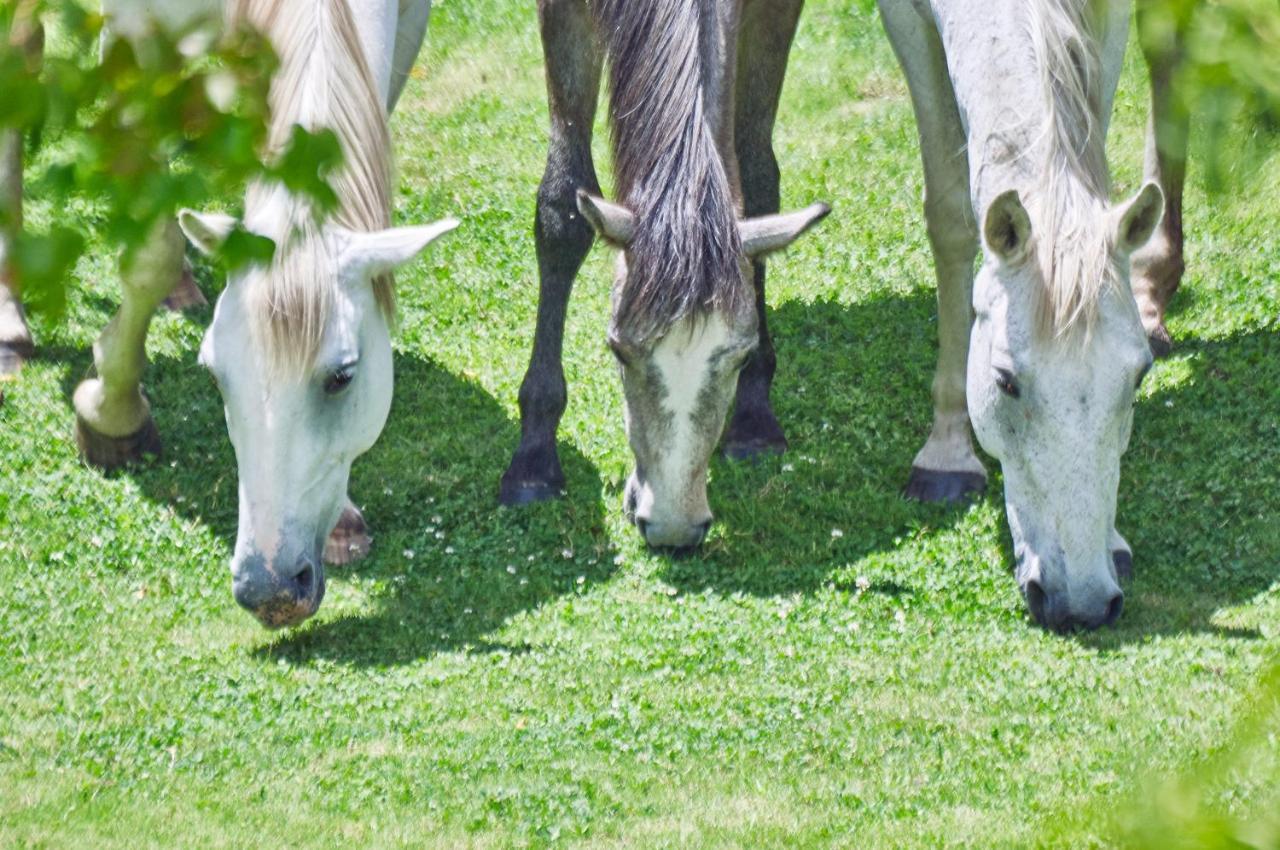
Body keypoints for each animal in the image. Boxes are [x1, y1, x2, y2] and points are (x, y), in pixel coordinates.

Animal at [0, 0, 458, 627]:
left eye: (343, 377)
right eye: (214, 375)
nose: (270, 589)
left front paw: (341, 520)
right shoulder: (136, 34)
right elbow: (149, 256)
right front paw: (113, 416)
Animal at [499, 0, 829, 547]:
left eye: (740, 355)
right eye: (617, 350)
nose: (673, 527)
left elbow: (758, 179)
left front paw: (755, 415)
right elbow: (561, 209)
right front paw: (534, 458)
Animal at [880, 0, 1172, 627]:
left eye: (1139, 378)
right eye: (1005, 382)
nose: (1084, 602)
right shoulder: (907, 22)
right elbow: (950, 217)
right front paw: (946, 455)